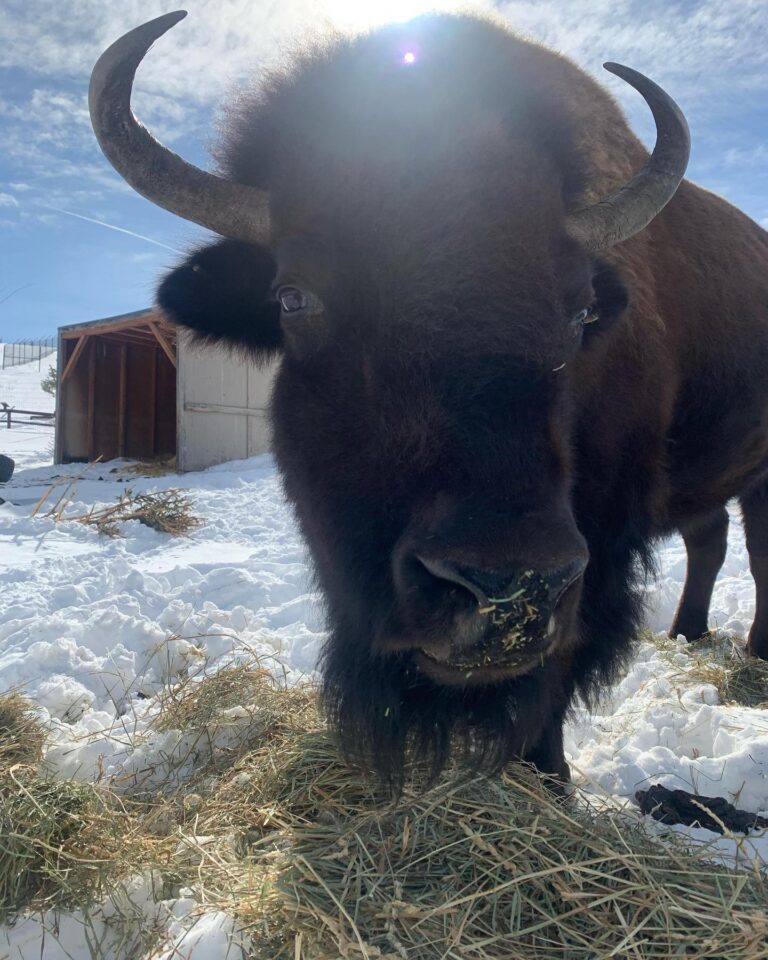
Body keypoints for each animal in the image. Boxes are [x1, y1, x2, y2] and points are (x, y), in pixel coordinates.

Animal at [90, 12, 768, 788]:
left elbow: (564, 659)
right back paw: (689, 633)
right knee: (711, 538)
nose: (510, 587)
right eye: (294, 296)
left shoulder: (602, 543)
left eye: (582, 312)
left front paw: (549, 778)